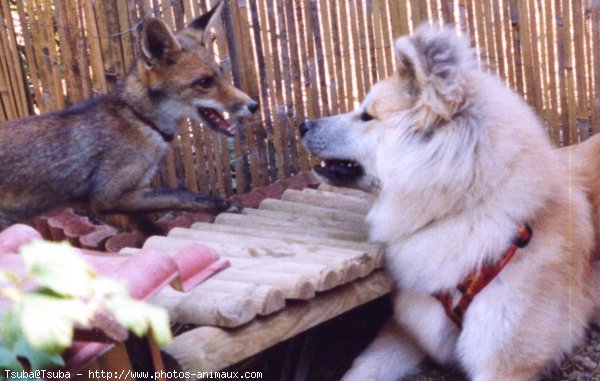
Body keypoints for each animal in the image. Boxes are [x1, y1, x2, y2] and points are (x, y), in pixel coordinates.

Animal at [0, 1, 256, 235]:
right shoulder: (108, 196)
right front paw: (222, 205)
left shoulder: (128, 199)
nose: (254, 105)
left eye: (221, 75)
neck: (141, 120)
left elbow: (151, 228)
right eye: (204, 82)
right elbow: (180, 194)